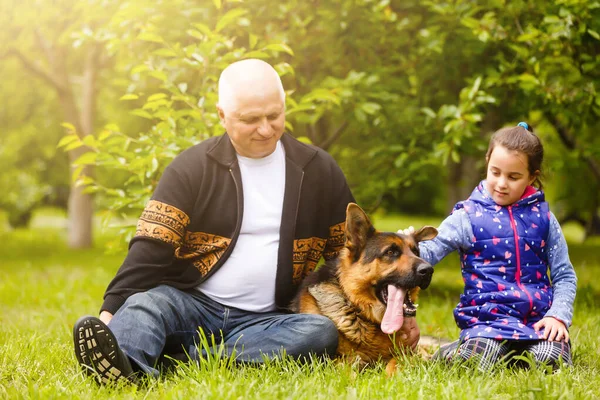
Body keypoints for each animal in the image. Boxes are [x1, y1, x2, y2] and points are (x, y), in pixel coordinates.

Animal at [290, 203, 436, 376]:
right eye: (391, 252)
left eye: (416, 252)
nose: (428, 270)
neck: (362, 313)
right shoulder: (334, 361)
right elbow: (347, 370)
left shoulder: (407, 353)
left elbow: (396, 363)